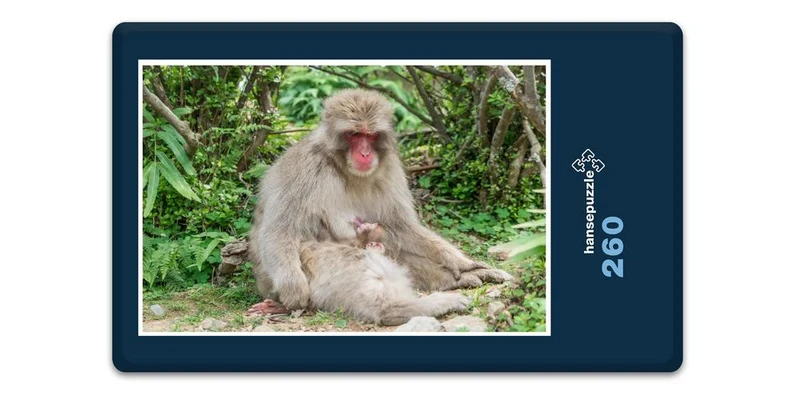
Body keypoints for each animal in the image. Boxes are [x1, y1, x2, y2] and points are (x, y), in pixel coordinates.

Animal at [249, 88, 514, 310]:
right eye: (355, 134)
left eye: (371, 135)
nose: (365, 153)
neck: (345, 170)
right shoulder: (304, 168)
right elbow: (280, 231)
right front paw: (294, 288)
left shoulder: (390, 168)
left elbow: (402, 226)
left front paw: (464, 264)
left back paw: (460, 278)